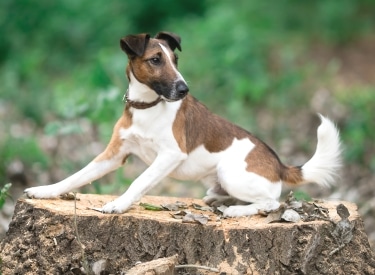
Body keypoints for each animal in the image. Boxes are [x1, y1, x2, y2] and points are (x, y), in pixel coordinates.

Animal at [24, 31, 344, 218]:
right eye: (155, 59)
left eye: (175, 59)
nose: (184, 89)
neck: (148, 107)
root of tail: (279, 165)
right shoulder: (114, 154)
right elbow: (76, 176)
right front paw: (45, 191)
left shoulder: (169, 155)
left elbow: (139, 181)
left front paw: (119, 204)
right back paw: (219, 201)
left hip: (230, 172)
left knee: (273, 202)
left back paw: (236, 211)